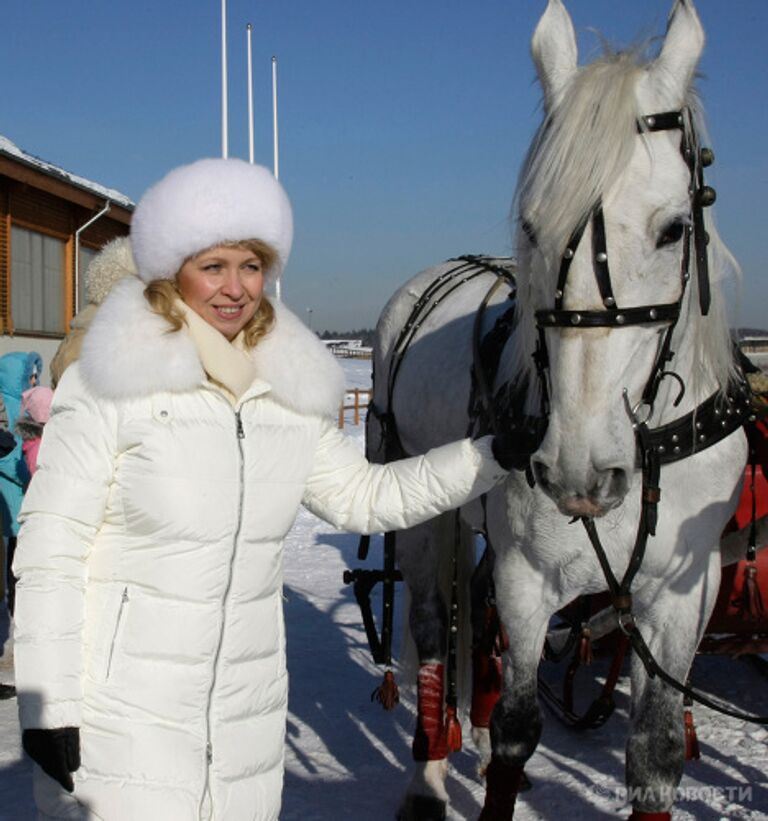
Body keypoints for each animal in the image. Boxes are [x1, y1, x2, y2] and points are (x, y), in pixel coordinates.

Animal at [370, 1, 752, 820]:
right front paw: (490, 762)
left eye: (674, 228)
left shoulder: (684, 593)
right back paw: (428, 773)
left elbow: (656, 752)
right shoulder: (526, 576)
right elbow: (518, 726)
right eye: (532, 226)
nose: (578, 468)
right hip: (423, 515)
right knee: (434, 633)